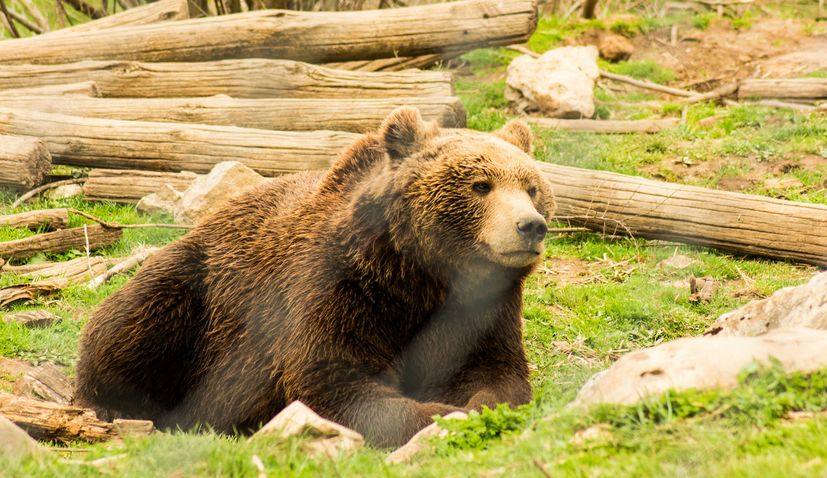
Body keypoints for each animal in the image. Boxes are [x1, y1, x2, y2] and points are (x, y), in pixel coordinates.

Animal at [76, 108, 556, 448]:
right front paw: (438, 414)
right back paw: (112, 405)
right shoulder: (340, 286)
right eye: (481, 185)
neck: (420, 275)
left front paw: (478, 406)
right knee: (131, 321)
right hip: (199, 288)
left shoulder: (483, 308)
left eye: (531, 187)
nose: (530, 226)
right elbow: (333, 377)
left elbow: (496, 374)